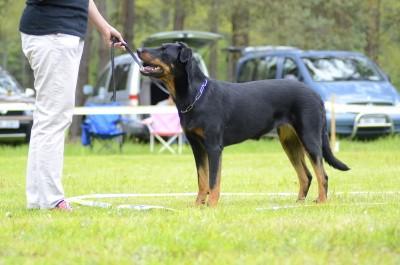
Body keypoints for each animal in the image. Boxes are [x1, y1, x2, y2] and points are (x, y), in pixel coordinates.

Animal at [136, 42, 348, 206]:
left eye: (164, 49)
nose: (138, 49)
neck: (195, 95)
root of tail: (316, 95)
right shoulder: (197, 146)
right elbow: (202, 179)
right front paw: (198, 205)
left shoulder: (213, 146)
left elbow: (213, 180)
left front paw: (211, 205)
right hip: (290, 142)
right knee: (306, 175)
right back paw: (298, 204)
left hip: (309, 137)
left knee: (322, 174)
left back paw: (321, 202)